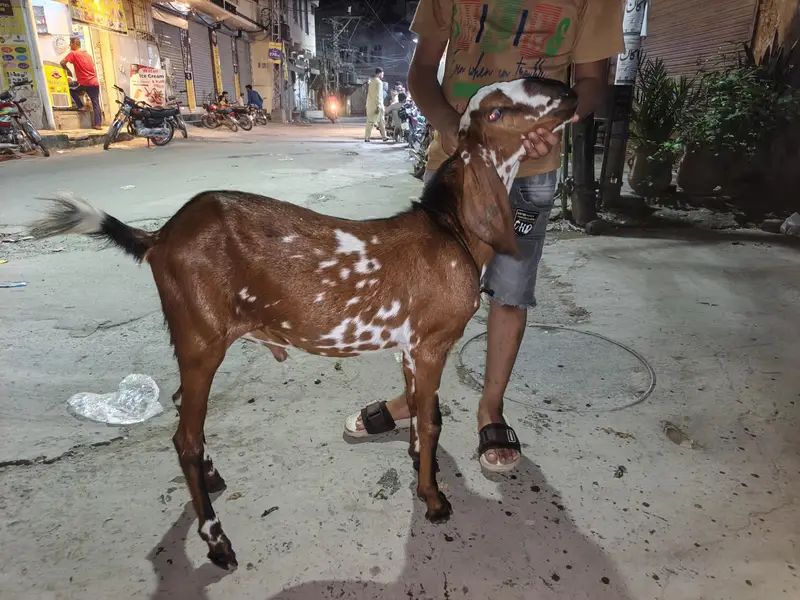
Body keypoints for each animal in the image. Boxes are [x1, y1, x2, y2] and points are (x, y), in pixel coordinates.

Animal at [27, 77, 578, 570]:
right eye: (497, 111)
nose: (568, 92)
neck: (452, 229)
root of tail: (159, 237)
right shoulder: (432, 343)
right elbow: (432, 419)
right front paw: (435, 498)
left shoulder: (408, 346)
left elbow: (423, 414)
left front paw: (420, 467)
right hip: (201, 338)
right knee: (186, 438)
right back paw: (217, 542)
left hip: (195, 340)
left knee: (185, 409)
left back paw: (212, 477)